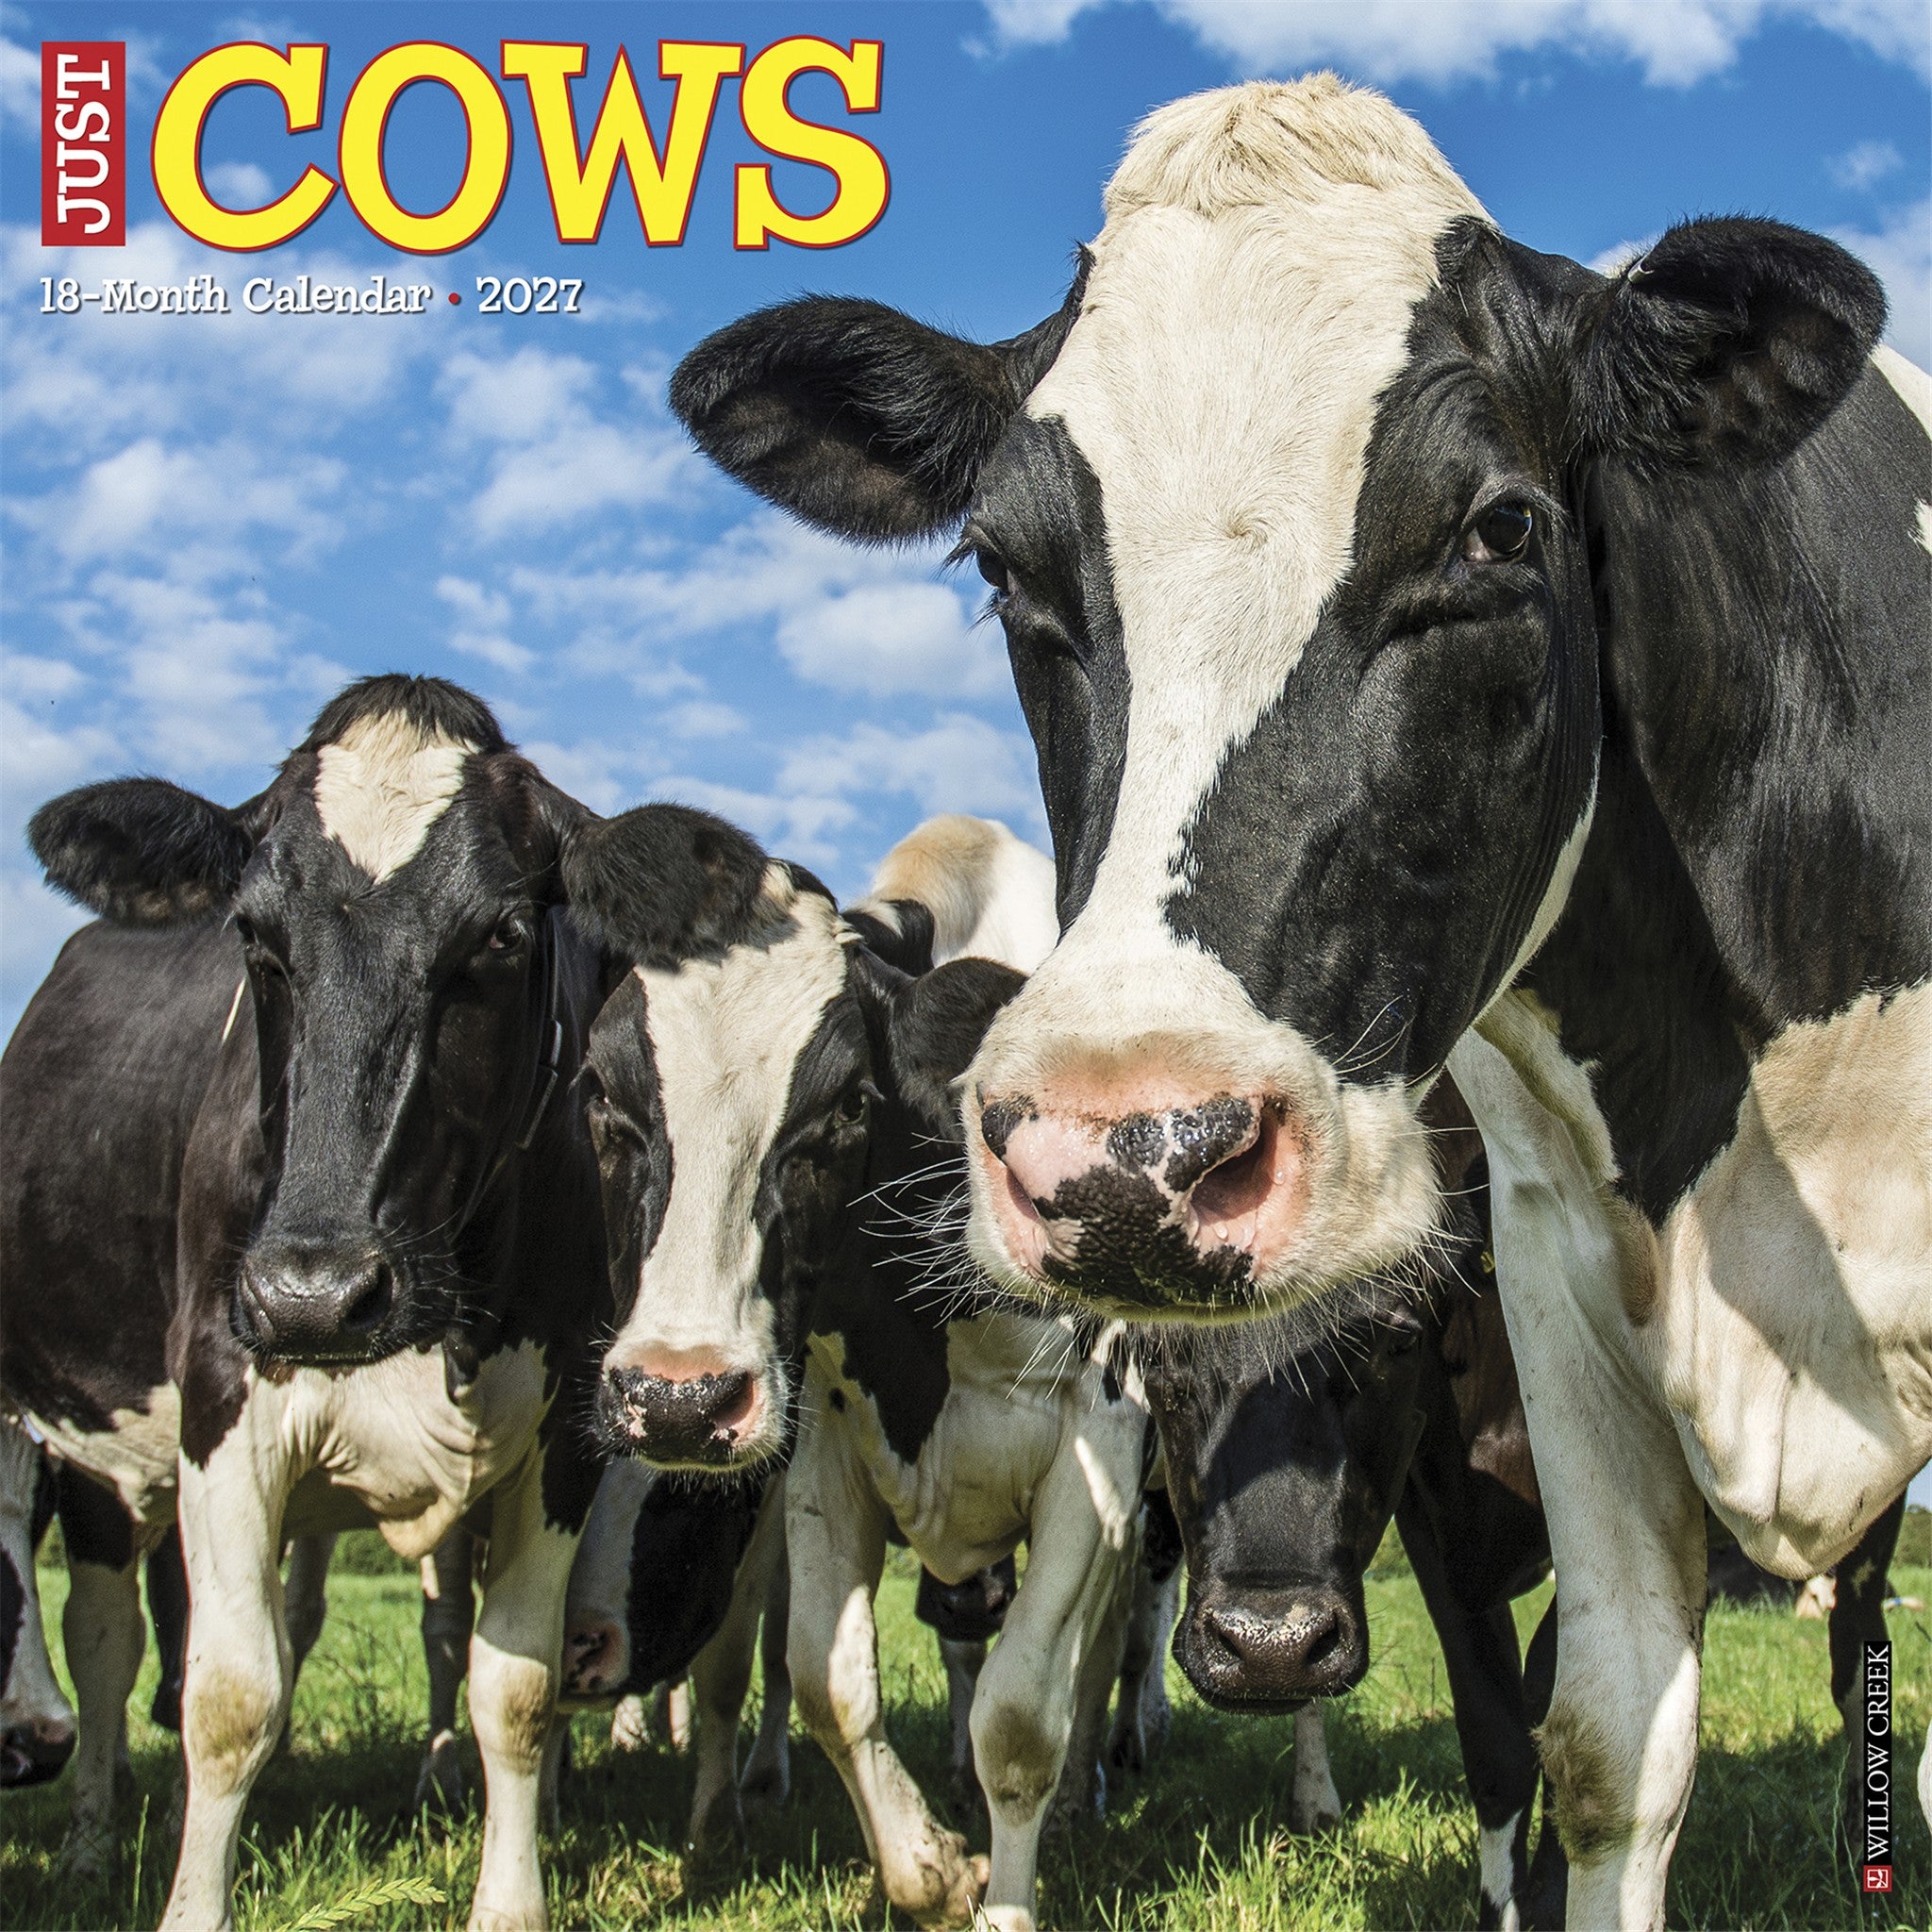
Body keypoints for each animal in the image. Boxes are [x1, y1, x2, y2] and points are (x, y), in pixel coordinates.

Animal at [16, 673, 760, 1931]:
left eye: (502, 934)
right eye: (253, 936)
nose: (315, 1293)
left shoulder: (564, 1426)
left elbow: (513, 1688)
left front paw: (509, 1897)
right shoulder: (220, 1395)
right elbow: (228, 1696)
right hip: (95, 1452)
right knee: (107, 1635)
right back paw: (88, 1841)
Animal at [569, 811, 1156, 1932]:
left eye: (845, 1104)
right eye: (602, 1100)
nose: (677, 1398)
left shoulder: (1097, 1449)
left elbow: (1023, 1715)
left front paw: (1007, 1898)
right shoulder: (825, 1445)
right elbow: (825, 1681)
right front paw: (934, 1870)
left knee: (1096, 1657)